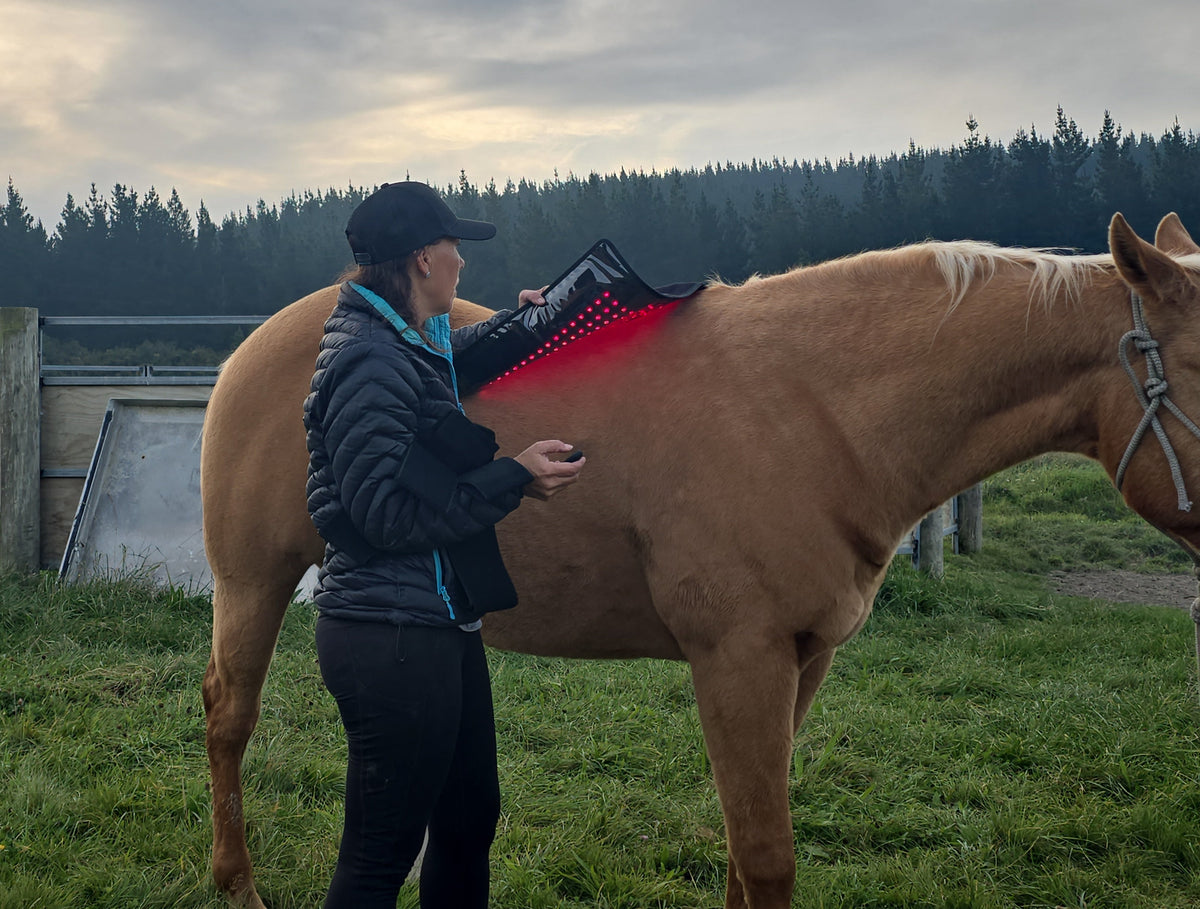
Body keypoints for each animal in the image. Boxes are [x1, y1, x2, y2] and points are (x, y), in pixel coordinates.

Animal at [200, 213, 1200, 908]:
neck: (812, 406)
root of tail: (261, 343)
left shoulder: (801, 660)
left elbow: (740, 851)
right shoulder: (738, 661)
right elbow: (767, 855)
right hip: (251, 583)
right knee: (228, 719)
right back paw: (237, 883)